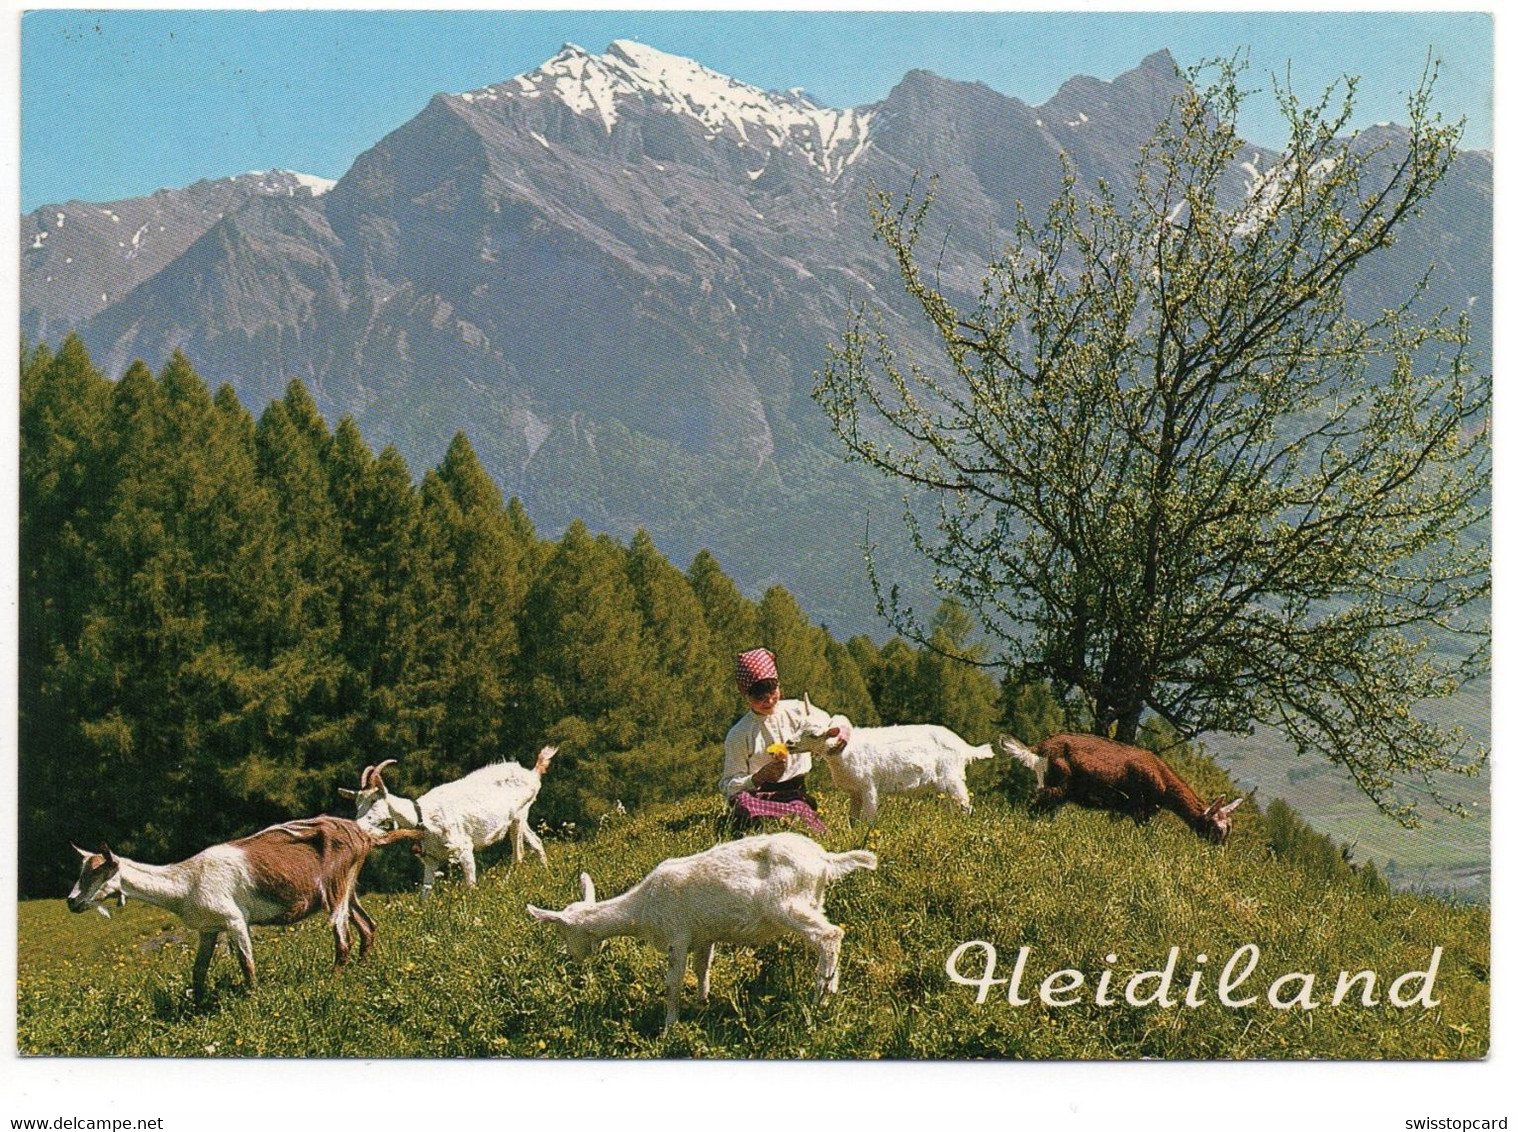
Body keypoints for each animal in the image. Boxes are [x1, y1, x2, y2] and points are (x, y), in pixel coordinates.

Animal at [67, 813, 425, 989]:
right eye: (81, 870)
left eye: (97, 873)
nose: (71, 902)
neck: (185, 882)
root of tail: (365, 836)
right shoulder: (208, 928)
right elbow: (198, 970)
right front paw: (197, 1004)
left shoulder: (234, 920)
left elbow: (247, 964)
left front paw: (252, 1000)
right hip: (347, 888)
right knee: (367, 926)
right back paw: (360, 969)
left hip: (336, 889)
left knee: (343, 937)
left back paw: (332, 983)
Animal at [338, 740, 558, 892]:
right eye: (357, 802)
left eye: (374, 800)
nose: (358, 825)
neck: (422, 817)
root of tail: (532, 773)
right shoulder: (431, 860)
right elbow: (425, 895)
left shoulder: (464, 850)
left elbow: (470, 885)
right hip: (520, 819)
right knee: (536, 842)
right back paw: (547, 874)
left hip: (518, 817)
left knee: (518, 854)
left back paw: (506, 884)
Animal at [528, 825, 880, 1025]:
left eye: (562, 929)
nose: (573, 958)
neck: (643, 906)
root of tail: (825, 860)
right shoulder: (703, 936)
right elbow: (702, 969)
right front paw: (701, 1003)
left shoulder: (677, 935)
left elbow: (673, 982)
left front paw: (670, 1024)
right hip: (813, 901)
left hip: (786, 904)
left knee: (830, 934)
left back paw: (822, 995)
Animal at [795, 691, 995, 813]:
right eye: (800, 725)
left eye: (814, 735)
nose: (790, 743)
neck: (846, 750)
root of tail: (965, 748)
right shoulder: (855, 791)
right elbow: (853, 820)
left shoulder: (869, 786)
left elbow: (867, 820)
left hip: (952, 779)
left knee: (965, 807)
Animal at [995, 731, 1244, 837]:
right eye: (1217, 828)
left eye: (1230, 827)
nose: (1218, 849)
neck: (1162, 780)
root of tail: (1037, 748)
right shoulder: (1140, 809)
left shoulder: (1122, 809)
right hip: (1055, 788)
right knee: (1033, 811)